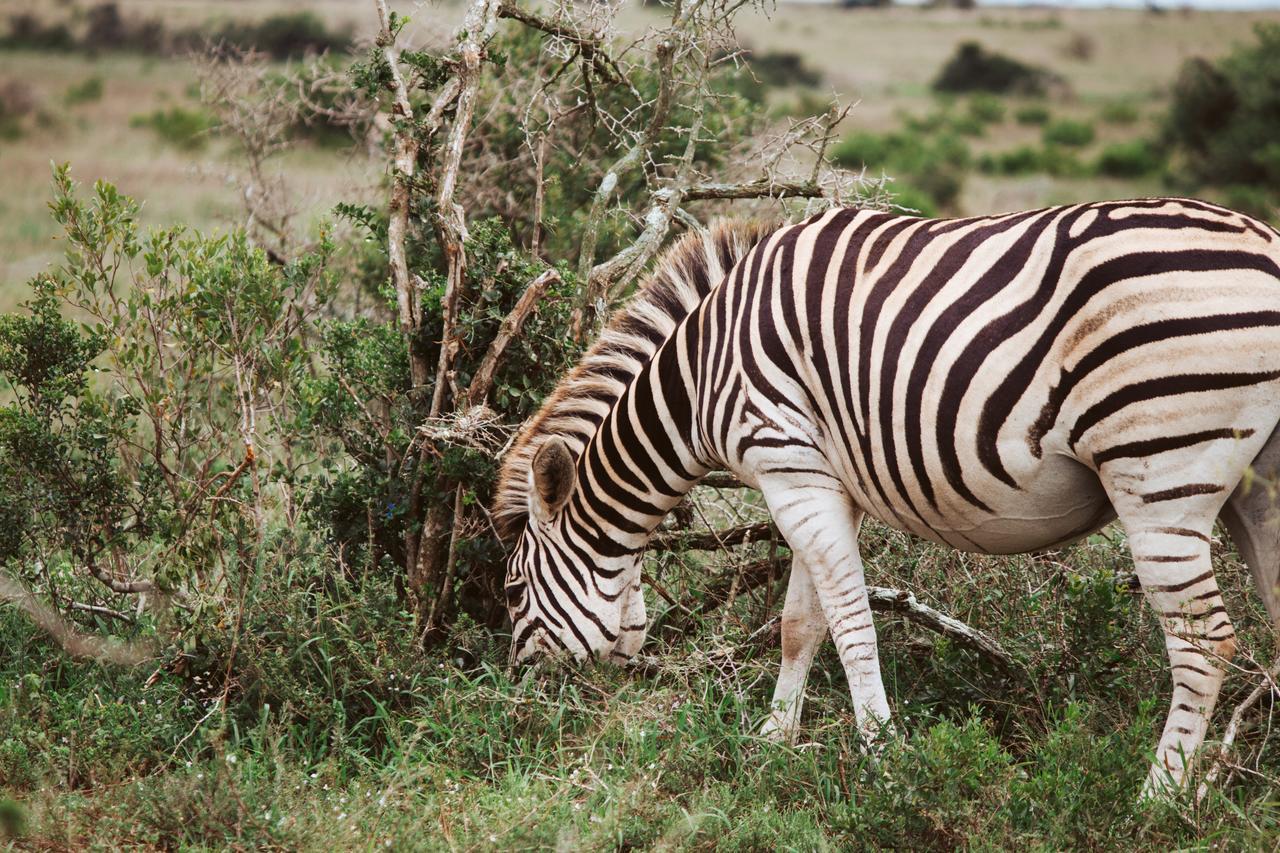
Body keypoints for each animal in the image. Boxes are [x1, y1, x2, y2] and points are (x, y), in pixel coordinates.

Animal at [494, 199, 1280, 788]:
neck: (699, 374)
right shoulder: (817, 477)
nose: (519, 702)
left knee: (1203, 640)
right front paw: (773, 741)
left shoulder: (786, 462)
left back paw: (1159, 797)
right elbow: (800, 622)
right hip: (1256, 483)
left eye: (511, 590)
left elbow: (849, 621)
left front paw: (882, 753)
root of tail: (1264, 243)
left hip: (1160, 468)